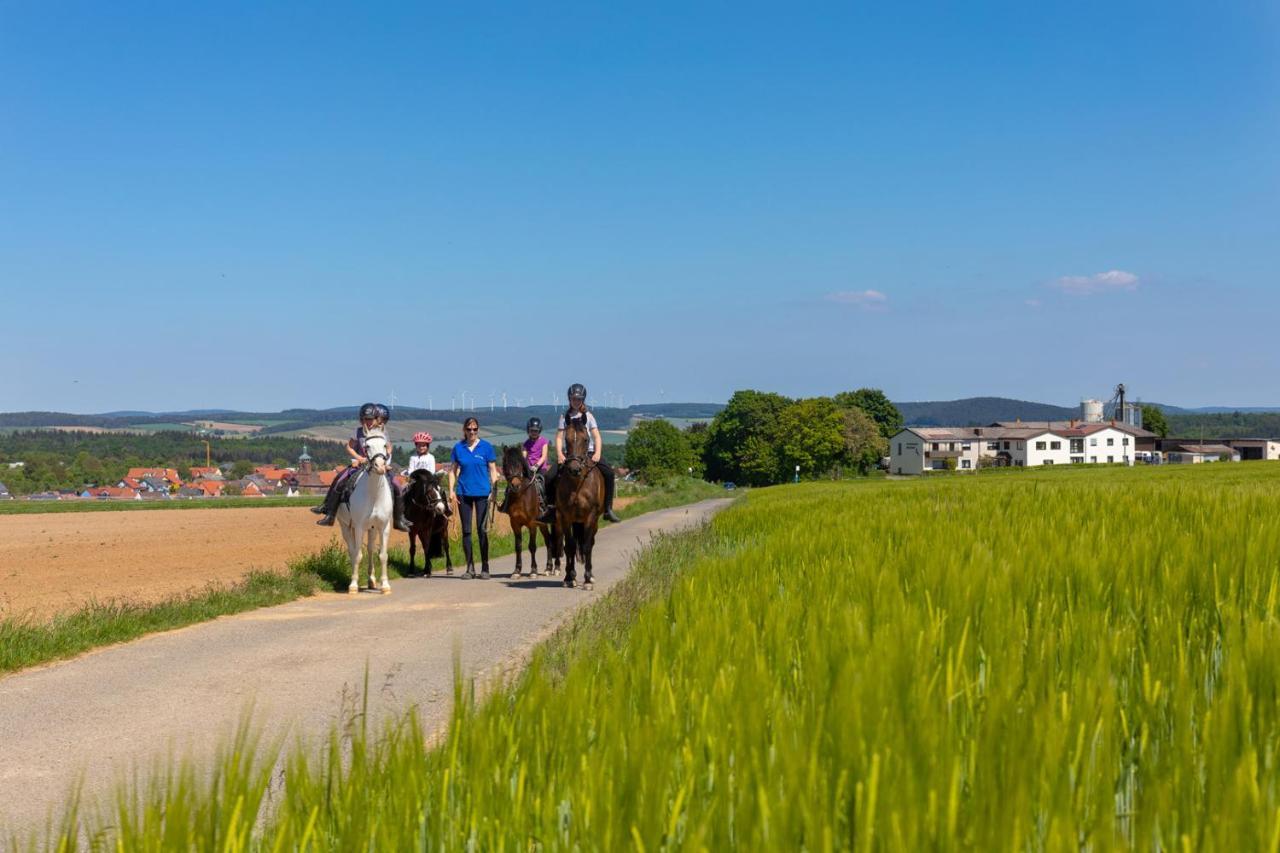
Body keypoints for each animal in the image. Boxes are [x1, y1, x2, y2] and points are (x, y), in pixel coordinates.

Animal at [335, 432, 394, 591]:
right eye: (367, 446)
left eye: (385, 445)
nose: (379, 466)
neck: (374, 494)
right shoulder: (359, 526)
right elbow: (357, 555)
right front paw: (353, 585)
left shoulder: (384, 526)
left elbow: (383, 555)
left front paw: (385, 585)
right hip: (345, 526)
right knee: (353, 550)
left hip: (371, 528)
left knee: (370, 549)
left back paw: (371, 580)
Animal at [499, 445, 560, 578]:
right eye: (505, 464)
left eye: (520, 464)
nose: (515, 485)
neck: (521, 495)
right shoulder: (515, 524)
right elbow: (518, 546)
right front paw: (517, 571)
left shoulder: (532, 524)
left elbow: (532, 546)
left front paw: (533, 570)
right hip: (543, 524)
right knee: (549, 541)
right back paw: (548, 568)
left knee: (557, 539)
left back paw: (557, 568)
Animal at [555, 414, 604, 589]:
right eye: (566, 439)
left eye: (586, 439)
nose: (574, 469)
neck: (577, 484)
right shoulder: (565, 517)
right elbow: (569, 546)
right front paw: (570, 577)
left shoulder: (590, 516)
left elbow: (587, 545)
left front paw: (588, 579)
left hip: (593, 521)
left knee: (590, 542)